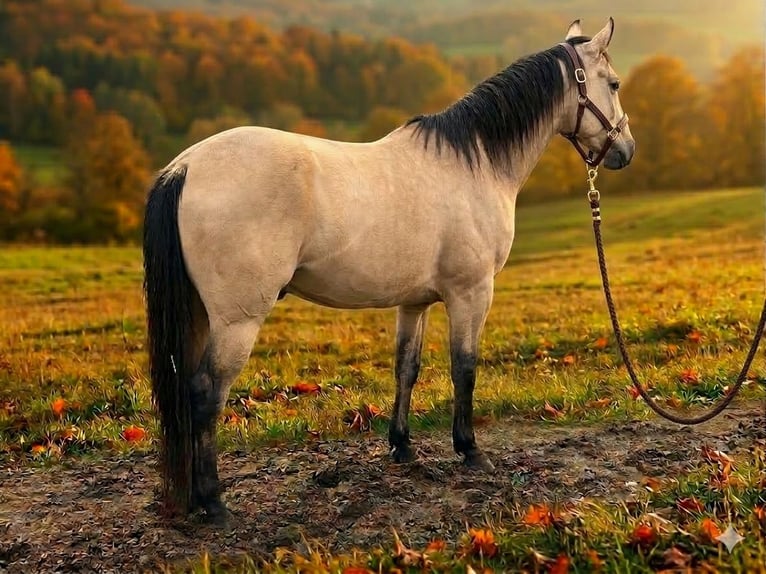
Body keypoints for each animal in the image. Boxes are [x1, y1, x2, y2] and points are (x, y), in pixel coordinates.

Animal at [142, 17, 635, 525]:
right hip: (236, 321)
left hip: (200, 315)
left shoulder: (414, 301)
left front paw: (402, 446)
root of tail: (184, 167)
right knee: (205, 394)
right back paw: (212, 501)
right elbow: (464, 367)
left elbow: (407, 368)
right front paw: (470, 449)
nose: (625, 150)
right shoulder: (471, 293)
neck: (475, 162)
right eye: (615, 84)